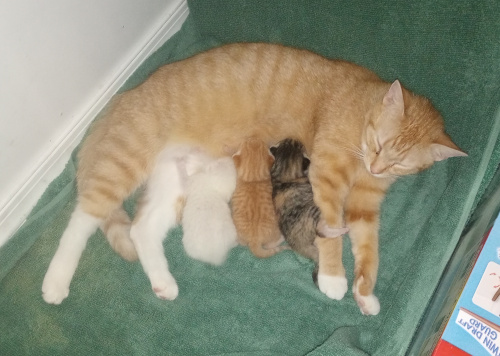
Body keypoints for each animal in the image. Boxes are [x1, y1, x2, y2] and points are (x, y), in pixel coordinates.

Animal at [41, 42, 466, 314]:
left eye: (398, 164)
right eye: (378, 144)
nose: (377, 167)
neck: (362, 115)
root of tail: (118, 101)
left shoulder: (365, 205)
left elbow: (368, 251)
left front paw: (364, 292)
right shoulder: (326, 178)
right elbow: (330, 232)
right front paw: (333, 277)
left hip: (174, 183)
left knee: (140, 229)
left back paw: (163, 283)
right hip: (120, 166)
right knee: (80, 221)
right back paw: (56, 281)